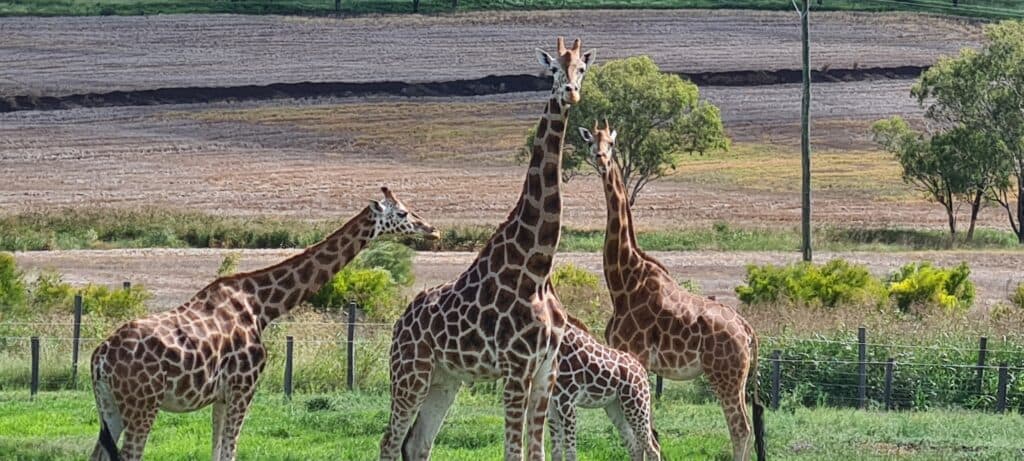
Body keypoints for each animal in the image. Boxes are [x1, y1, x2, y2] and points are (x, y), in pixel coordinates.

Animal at [89, 187, 438, 461]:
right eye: (403, 212)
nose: (433, 229)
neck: (262, 306)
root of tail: (99, 359)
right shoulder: (244, 387)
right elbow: (229, 451)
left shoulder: (222, 395)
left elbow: (217, 451)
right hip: (142, 405)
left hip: (110, 406)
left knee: (98, 453)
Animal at [380, 37, 594, 461]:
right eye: (552, 69)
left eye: (582, 68)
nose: (571, 93)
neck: (538, 267)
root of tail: (400, 321)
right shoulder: (516, 368)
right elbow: (514, 451)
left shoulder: (546, 370)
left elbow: (536, 451)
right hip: (411, 371)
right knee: (390, 441)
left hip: (446, 378)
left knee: (417, 443)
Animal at [549, 316, 660, 461]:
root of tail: (642, 371)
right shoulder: (552, 404)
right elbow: (555, 451)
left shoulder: (567, 401)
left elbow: (570, 451)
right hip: (616, 407)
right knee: (635, 446)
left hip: (637, 405)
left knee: (653, 448)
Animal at [580, 121, 766, 461]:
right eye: (590, 142)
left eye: (611, 143)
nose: (601, 159)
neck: (622, 282)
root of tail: (748, 331)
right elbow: (646, 435)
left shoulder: (637, 356)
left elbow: (645, 437)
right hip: (738, 376)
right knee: (747, 427)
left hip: (725, 375)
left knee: (741, 428)